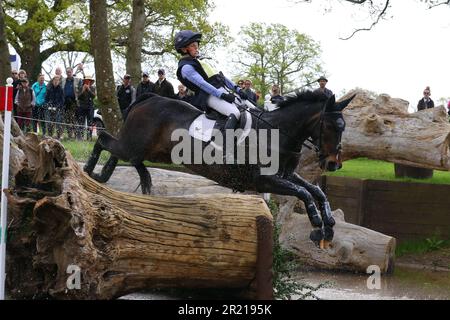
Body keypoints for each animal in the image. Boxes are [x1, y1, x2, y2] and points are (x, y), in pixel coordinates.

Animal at [82, 91, 354, 246]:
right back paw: (89, 171)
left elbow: (317, 192)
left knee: (125, 154)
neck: (277, 134)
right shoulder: (265, 181)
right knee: (104, 140)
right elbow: (305, 193)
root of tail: (149, 98)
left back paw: (110, 175)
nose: (334, 163)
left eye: (344, 127)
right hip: (136, 143)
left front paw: (329, 225)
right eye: (331, 126)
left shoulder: (286, 175)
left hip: (151, 150)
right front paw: (317, 227)